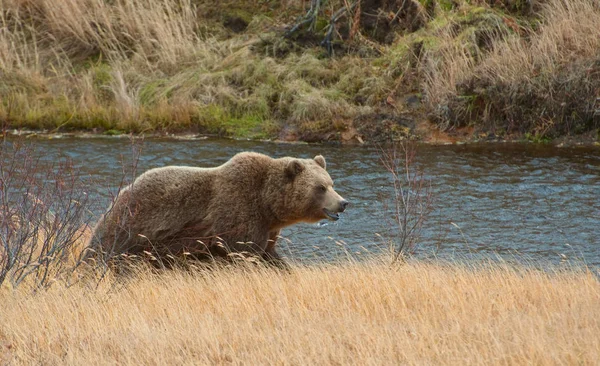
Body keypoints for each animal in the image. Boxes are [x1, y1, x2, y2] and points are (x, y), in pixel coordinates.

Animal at [85, 153, 346, 268]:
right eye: (320, 187)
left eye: (331, 183)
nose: (343, 203)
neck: (267, 203)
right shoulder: (238, 215)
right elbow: (244, 252)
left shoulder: (267, 228)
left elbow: (269, 255)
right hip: (133, 233)